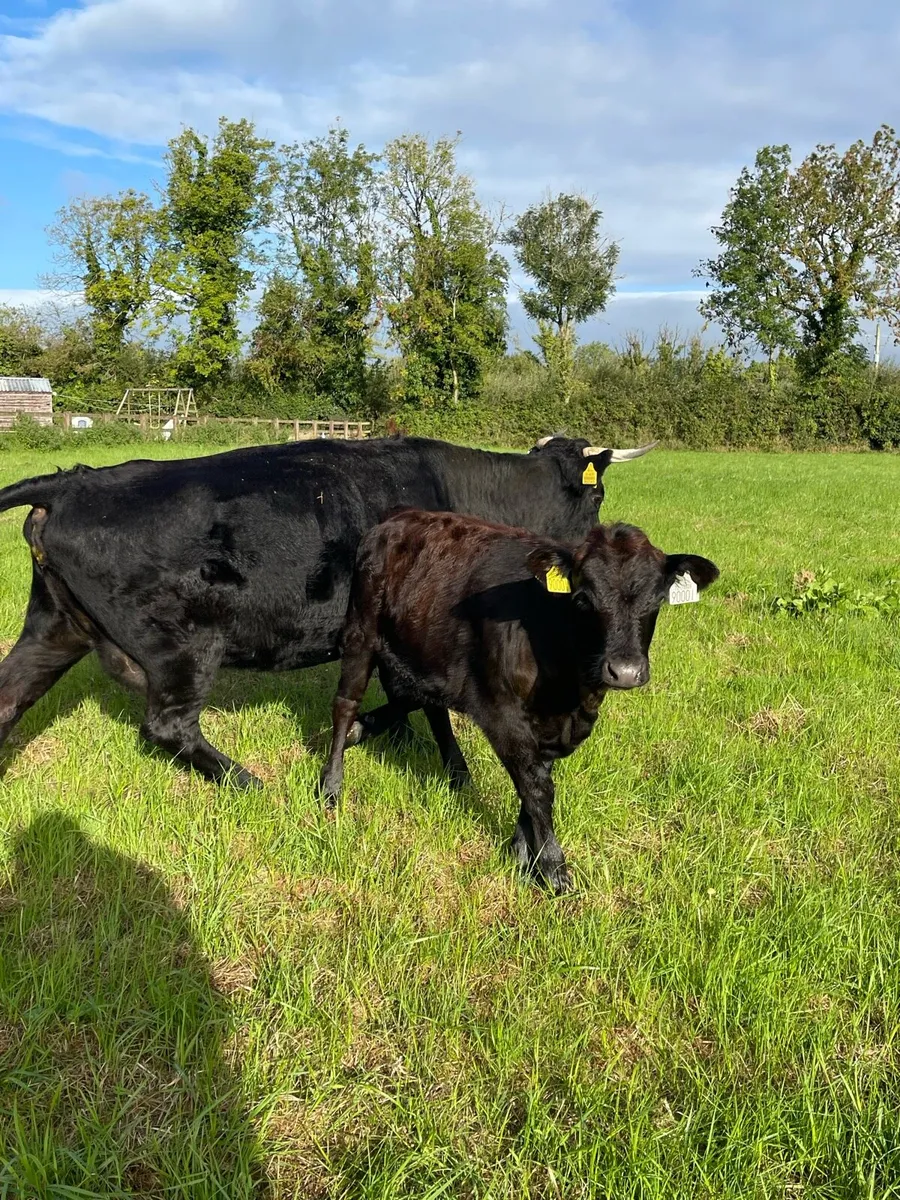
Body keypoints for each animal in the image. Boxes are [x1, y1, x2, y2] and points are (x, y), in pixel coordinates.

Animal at [0, 433, 655, 787]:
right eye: (599, 492)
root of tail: (73, 482)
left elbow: (418, 703)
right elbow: (424, 702)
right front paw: (447, 764)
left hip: (54, 629)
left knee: (10, 697)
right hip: (184, 646)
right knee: (168, 725)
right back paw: (246, 780)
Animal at [319, 510, 719, 893]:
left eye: (657, 601)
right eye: (583, 599)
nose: (624, 670)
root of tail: (393, 520)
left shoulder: (554, 726)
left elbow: (537, 780)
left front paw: (522, 853)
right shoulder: (502, 713)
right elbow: (537, 786)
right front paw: (554, 871)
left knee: (428, 705)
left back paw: (454, 772)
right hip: (361, 631)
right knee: (346, 704)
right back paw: (332, 785)